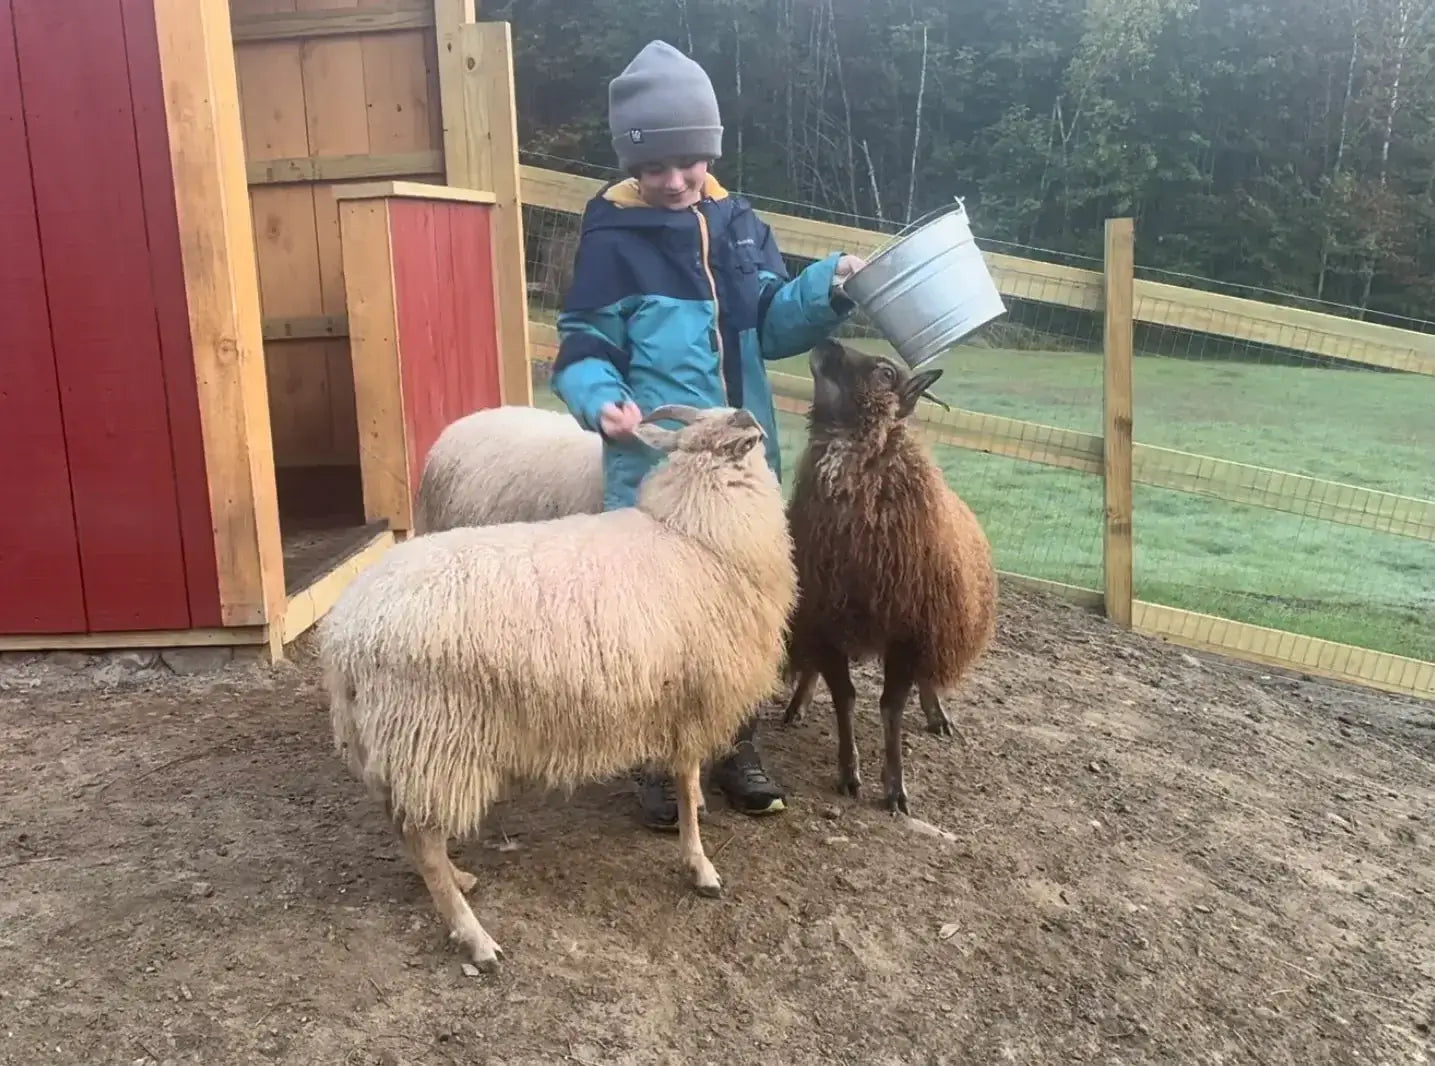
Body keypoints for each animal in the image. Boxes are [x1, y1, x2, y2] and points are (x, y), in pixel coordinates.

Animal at [781, 338, 997, 816]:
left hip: (935, 625)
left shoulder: (910, 630)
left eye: (885, 372)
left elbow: (891, 709)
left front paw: (896, 787)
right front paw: (849, 772)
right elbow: (845, 697)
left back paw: (938, 715)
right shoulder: (826, 620)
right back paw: (798, 703)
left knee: (927, 676)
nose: (826, 342)